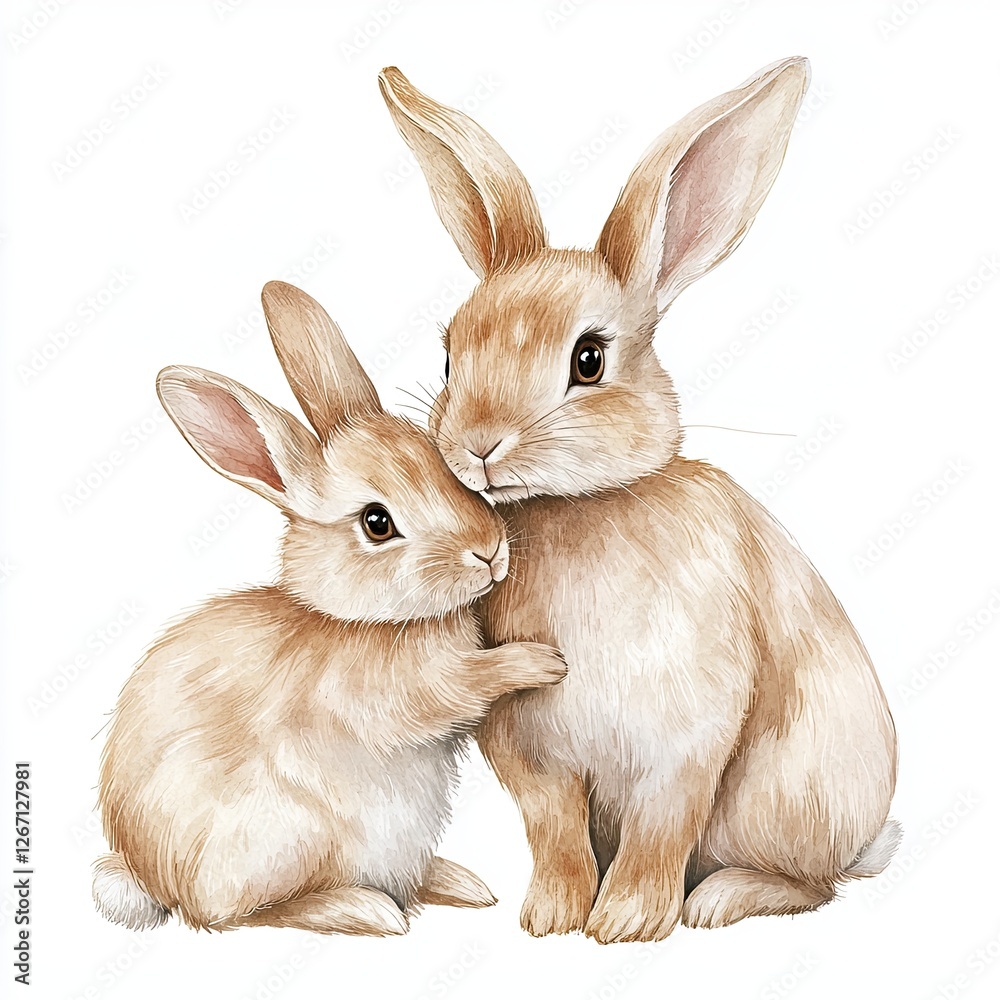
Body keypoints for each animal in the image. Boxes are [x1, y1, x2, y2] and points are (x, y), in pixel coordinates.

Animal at [92, 280, 567, 936]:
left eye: (441, 462)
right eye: (377, 523)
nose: (489, 551)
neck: (360, 621)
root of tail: (147, 875)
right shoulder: (393, 693)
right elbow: (462, 686)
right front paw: (541, 662)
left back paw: (456, 883)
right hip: (284, 840)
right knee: (237, 915)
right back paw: (366, 910)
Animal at [378, 58, 900, 943]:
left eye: (588, 359)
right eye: (449, 356)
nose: (478, 445)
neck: (581, 505)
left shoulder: (683, 743)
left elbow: (661, 826)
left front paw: (627, 923)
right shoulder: (533, 755)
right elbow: (554, 829)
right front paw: (553, 916)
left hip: (785, 797)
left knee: (810, 883)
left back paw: (719, 901)